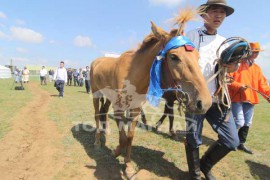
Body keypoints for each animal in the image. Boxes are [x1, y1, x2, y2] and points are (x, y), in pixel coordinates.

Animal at [90, 9, 213, 176]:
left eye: (197, 56)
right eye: (174, 56)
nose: (204, 102)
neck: (133, 75)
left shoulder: (135, 109)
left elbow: (130, 136)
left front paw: (128, 165)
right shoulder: (119, 108)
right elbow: (123, 137)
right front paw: (116, 152)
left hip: (108, 98)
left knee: (103, 111)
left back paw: (106, 131)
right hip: (96, 94)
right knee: (97, 114)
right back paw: (97, 141)